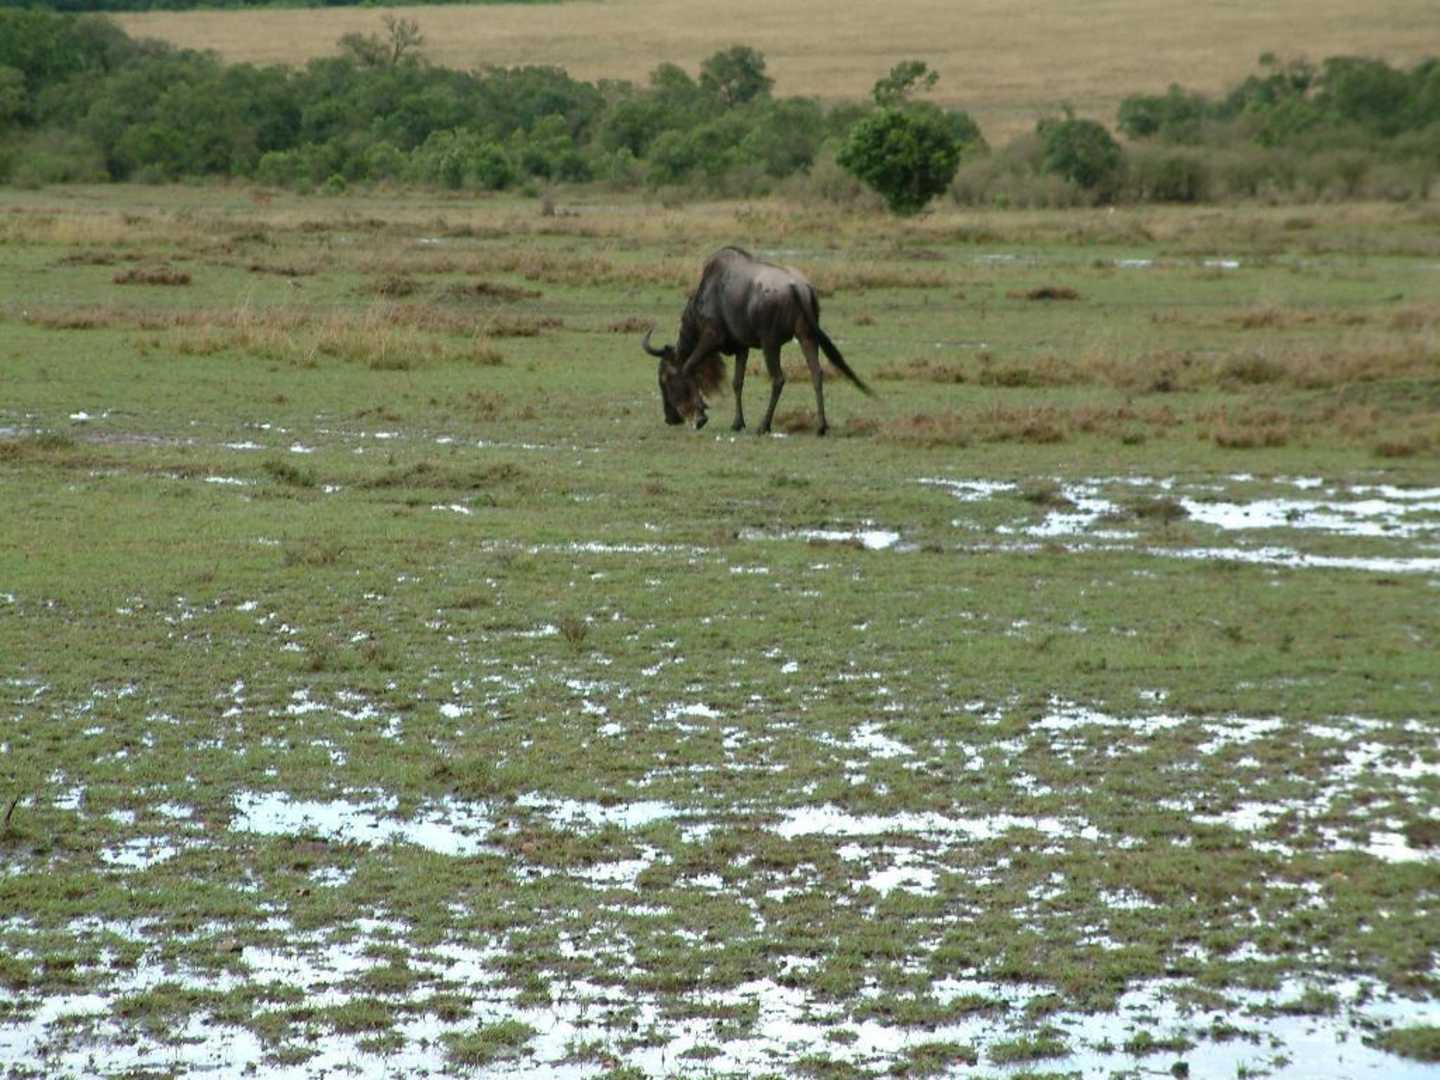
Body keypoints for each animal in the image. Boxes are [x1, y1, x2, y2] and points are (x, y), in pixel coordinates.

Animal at [643, 246, 871, 436]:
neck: (707, 294)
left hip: (770, 343)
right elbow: (737, 382)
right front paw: (737, 423)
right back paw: (821, 426)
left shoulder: (711, 337)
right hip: (806, 336)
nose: (670, 418)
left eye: (665, 378)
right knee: (816, 373)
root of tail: (798, 286)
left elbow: (689, 367)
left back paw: (764, 425)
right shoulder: (742, 348)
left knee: (778, 379)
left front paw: (701, 414)